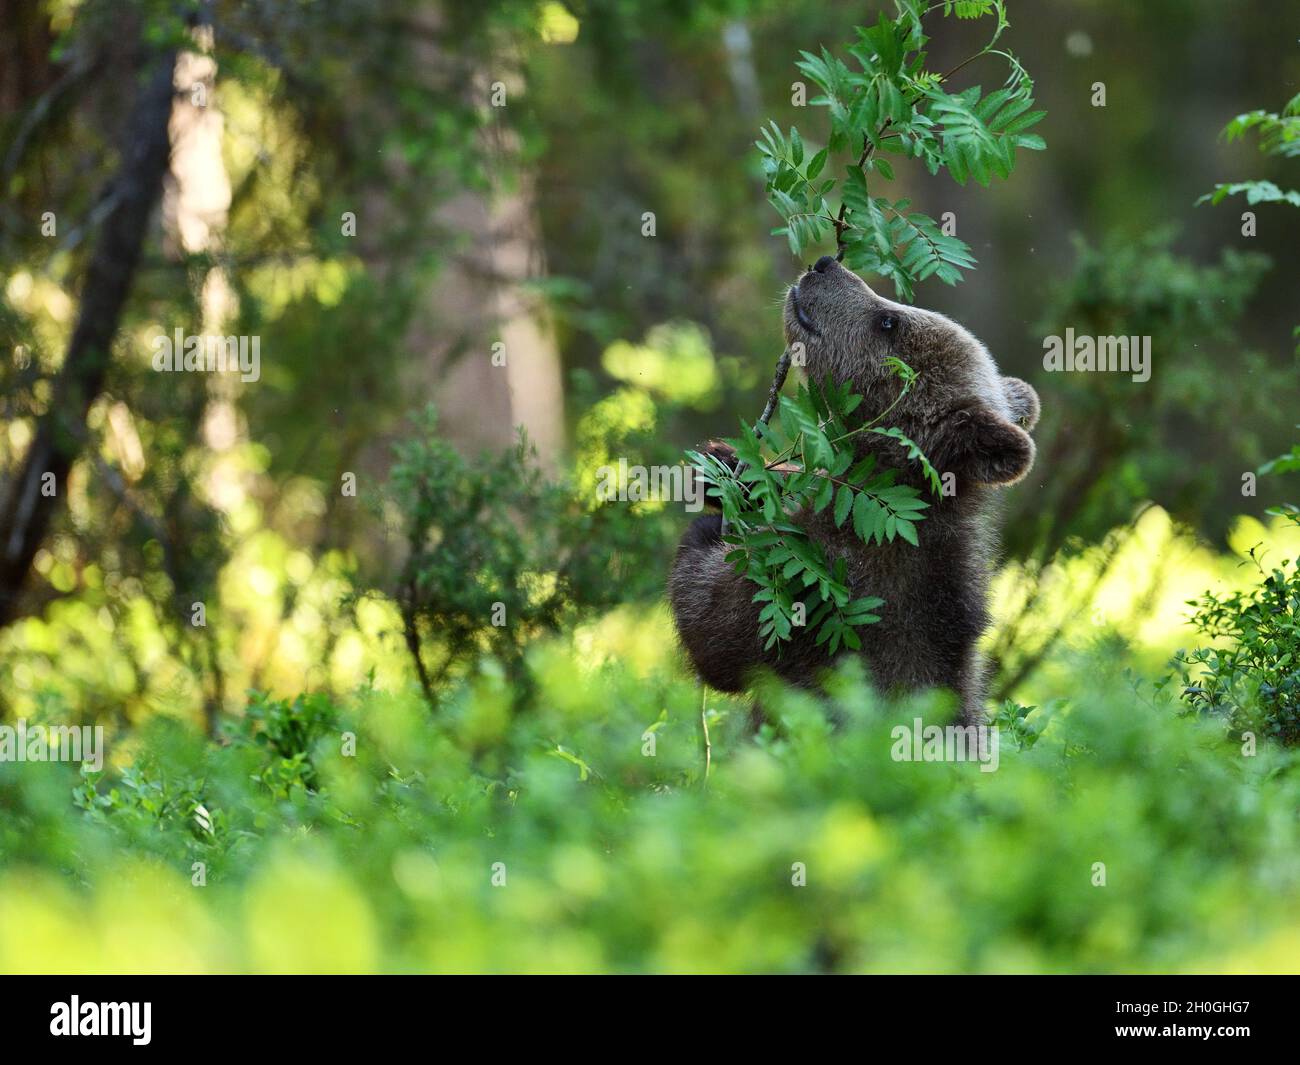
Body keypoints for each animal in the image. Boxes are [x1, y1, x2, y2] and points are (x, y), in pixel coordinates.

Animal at [669, 255, 1040, 725]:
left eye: (889, 321)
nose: (824, 264)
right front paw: (727, 464)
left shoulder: (829, 582)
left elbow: (717, 631)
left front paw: (707, 527)